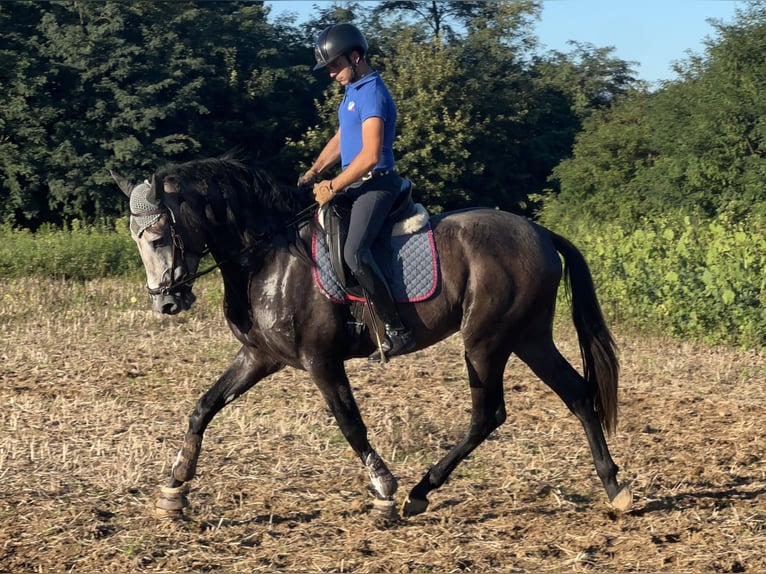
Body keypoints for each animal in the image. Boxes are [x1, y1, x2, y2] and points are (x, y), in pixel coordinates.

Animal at [111, 153, 632, 518]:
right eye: (136, 240)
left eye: (157, 237)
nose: (166, 303)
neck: (269, 257)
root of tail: (540, 233)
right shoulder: (259, 356)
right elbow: (204, 407)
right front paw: (175, 487)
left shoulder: (321, 360)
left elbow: (349, 422)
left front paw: (383, 489)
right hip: (527, 336)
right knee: (576, 394)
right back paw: (614, 487)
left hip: (486, 341)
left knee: (489, 414)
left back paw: (420, 492)